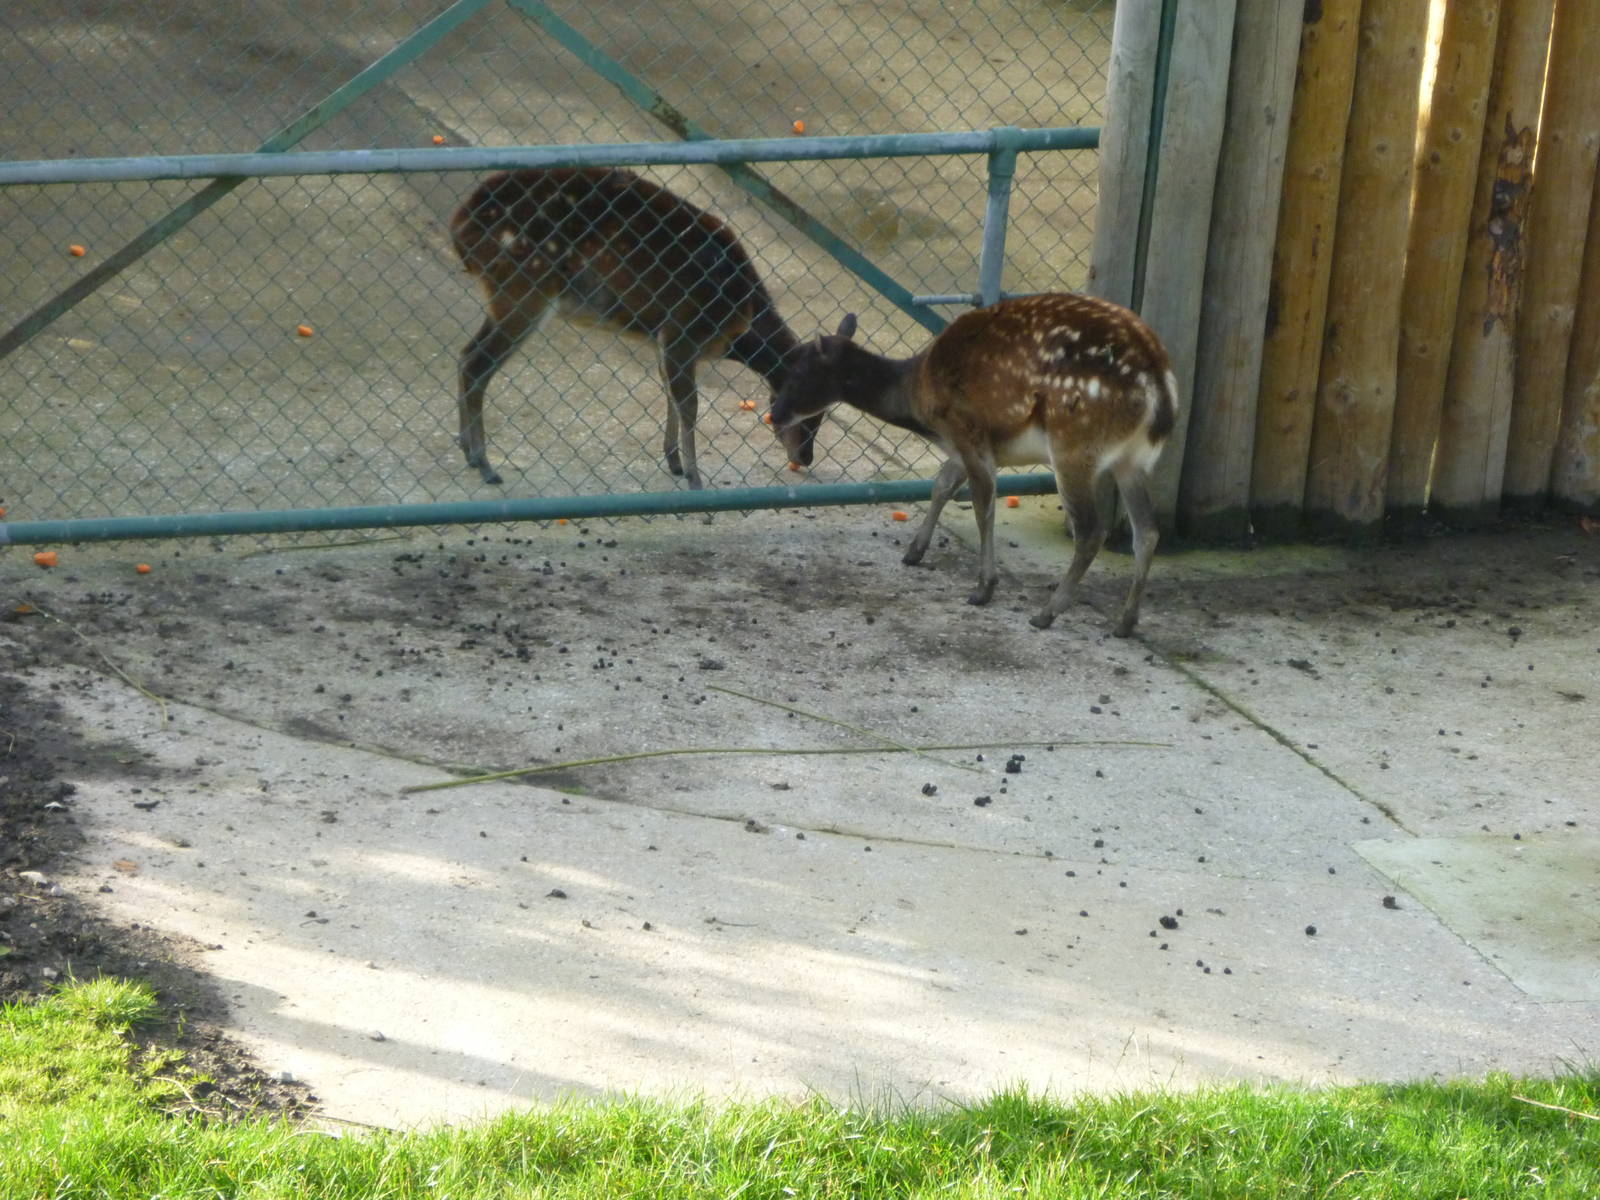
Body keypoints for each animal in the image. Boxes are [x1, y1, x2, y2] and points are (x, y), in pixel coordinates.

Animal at [449, 166, 823, 489]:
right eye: (807, 412)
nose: (805, 457)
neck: (736, 320)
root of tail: (460, 227)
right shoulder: (682, 330)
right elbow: (689, 404)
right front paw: (695, 479)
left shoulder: (663, 339)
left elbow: (670, 394)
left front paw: (674, 463)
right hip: (524, 290)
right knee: (477, 363)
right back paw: (485, 465)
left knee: (465, 354)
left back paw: (468, 452)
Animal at [768, 293, 1178, 637]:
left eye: (798, 373)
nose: (776, 414)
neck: (919, 400)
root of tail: (1160, 388)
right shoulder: (960, 445)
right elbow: (942, 485)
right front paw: (914, 552)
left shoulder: (968, 429)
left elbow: (982, 505)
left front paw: (983, 588)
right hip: (1131, 460)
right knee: (1147, 531)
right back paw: (1125, 622)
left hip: (1074, 444)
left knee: (1092, 530)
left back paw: (1046, 613)